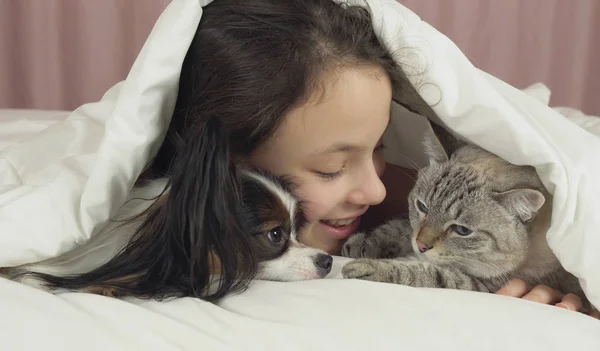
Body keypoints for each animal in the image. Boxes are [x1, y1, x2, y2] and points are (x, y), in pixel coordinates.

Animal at [340, 120, 588, 308]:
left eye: (462, 230)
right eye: (422, 207)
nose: (421, 246)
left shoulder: (485, 286)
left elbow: (425, 273)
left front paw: (369, 267)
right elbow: (401, 227)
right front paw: (366, 243)